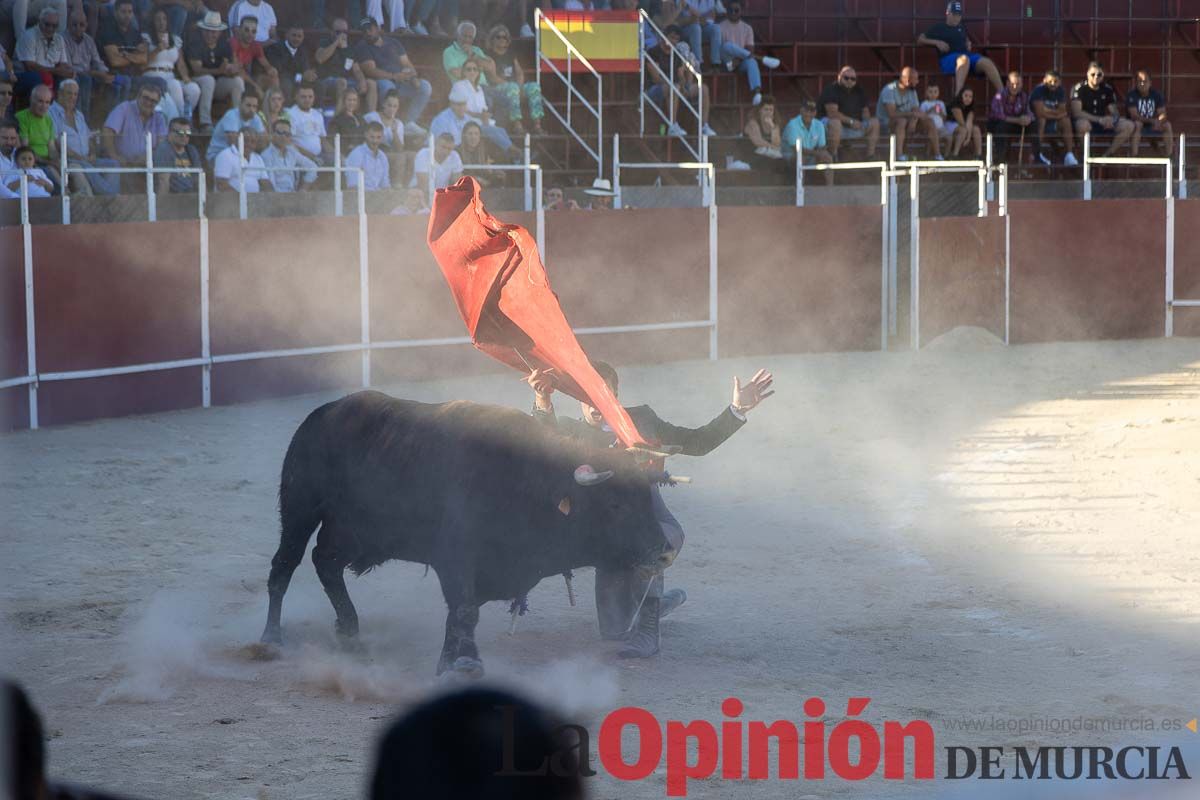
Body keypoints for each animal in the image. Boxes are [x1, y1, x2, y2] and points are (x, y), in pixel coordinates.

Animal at [261, 393, 672, 676]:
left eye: (647, 498)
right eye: (615, 505)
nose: (664, 551)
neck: (529, 481)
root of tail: (323, 413)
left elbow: (459, 616)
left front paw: (452, 661)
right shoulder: (454, 558)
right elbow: (464, 611)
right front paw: (465, 665)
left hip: (353, 531)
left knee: (325, 563)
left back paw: (350, 635)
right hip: (300, 508)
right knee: (285, 565)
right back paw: (271, 638)